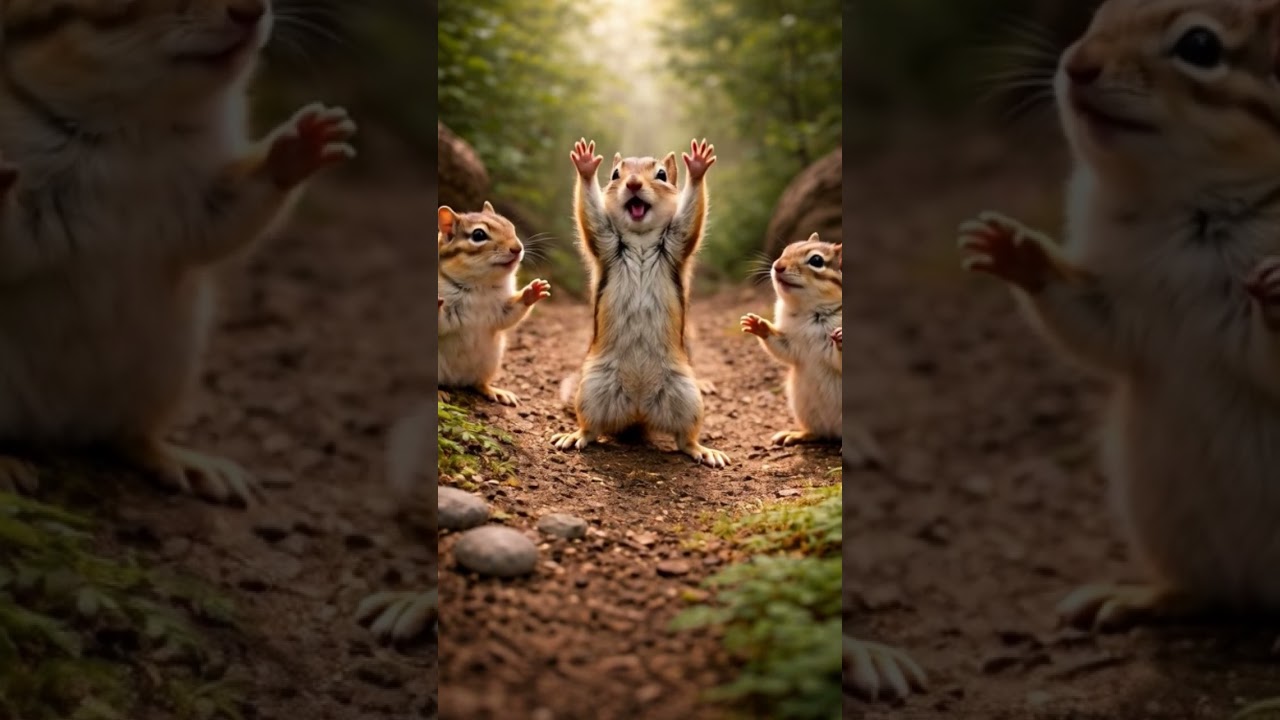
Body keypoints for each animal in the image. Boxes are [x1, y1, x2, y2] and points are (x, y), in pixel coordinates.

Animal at [0, 0, 354, 504]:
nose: (252, 10)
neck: (133, 131)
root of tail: (53, 428)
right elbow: (12, 244)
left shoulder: (205, 199)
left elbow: (228, 221)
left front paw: (302, 143)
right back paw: (5, 466)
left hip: (164, 376)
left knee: (123, 437)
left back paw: (186, 463)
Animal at [437, 202, 550, 406]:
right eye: (478, 235)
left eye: (511, 226)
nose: (518, 248)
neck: (479, 286)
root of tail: (454, 380)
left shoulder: (500, 309)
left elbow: (509, 316)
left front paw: (532, 291)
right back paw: (439, 393)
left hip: (490, 363)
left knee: (477, 384)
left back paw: (495, 391)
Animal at [551, 138, 729, 468]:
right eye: (614, 174)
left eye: (661, 175)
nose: (633, 183)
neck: (641, 238)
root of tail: (638, 410)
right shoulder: (605, 241)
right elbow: (592, 218)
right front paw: (585, 167)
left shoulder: (676, 242)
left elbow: (688, 221)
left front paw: (697, 168)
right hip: (591, 391)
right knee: (591, 428)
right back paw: (574, 435)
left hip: (687, 397)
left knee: (685, 439)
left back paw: (703, 450)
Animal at [741, 235, 882, 464]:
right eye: (786, 249)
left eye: (816, 260)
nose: (777, 266)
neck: (811, 312)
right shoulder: (791, 342)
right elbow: (782, 349)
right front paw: (759, 325)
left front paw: (841, 338)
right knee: (820, 433)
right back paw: (796, 435)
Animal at [960, 0, 1280, 631]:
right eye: (1103, 12)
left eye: (1200, 46)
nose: (1077, 64)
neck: (1187, 211)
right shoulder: (1121, 304)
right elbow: (1091, 329)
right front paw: (1016, 250)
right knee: (1209, 594)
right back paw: (1138, 598)